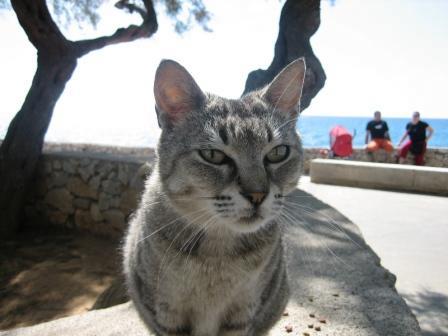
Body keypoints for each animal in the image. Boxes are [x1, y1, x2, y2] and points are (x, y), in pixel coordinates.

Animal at [124, 58, 308, 336]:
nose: (257, 194)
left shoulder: (243, 312)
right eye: (213, 155)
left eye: (278, 153)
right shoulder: (167, 312)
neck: (216, 257)